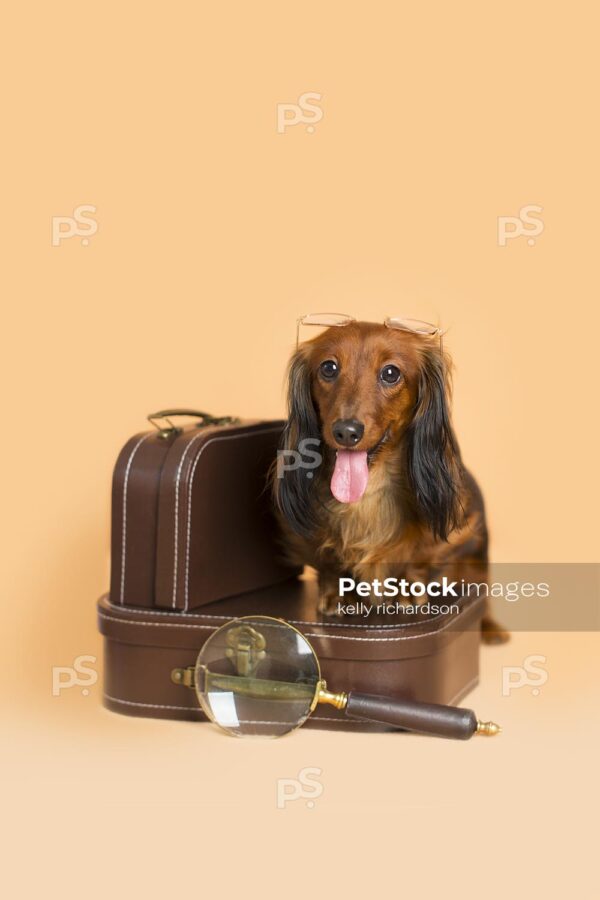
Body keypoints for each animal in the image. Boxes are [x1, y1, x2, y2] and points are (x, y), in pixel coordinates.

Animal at [274, 322, 506, 640]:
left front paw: (406, 588)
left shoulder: (457, 530)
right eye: (328, 368)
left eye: (391, 373)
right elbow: (327, 559)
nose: (346, 431)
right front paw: (339, 591)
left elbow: (423, 552)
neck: (368, 491)